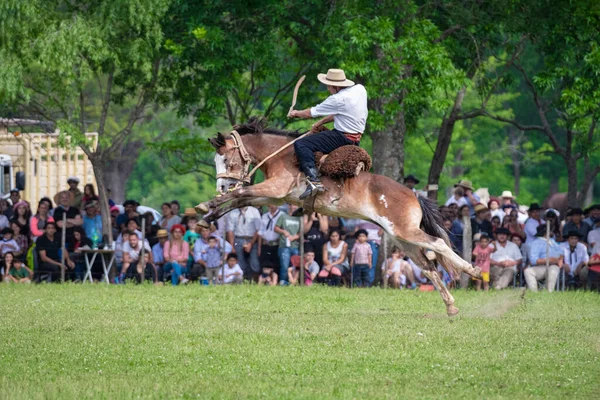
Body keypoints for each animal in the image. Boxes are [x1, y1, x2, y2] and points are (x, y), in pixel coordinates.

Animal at [198, 117, 482, 318]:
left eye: (226, 158)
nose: (221, 185)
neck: (281, 155)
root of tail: (413, 194)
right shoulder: (275, 197)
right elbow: (241, 200)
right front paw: (208, 215)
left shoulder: (275, 189)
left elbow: (240, 193)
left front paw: (206, 204)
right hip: (403, 239)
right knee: (429, 267)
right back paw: (451, 306)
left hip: (406, 232)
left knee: (439, 245)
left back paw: (473, 271)